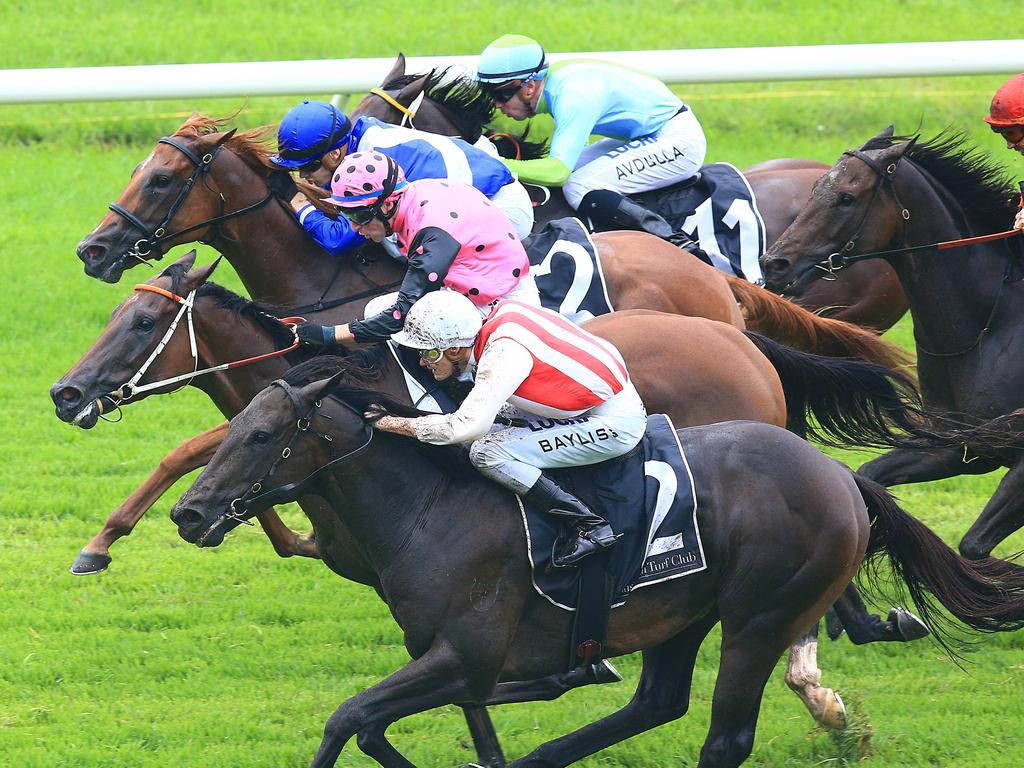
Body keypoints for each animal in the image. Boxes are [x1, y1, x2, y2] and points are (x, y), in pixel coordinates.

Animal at [167, 360, 1024, 768]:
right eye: (230, 426)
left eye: (261, 435)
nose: (189, 513)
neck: (428, 508)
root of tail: (840, 477)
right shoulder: (451, 659)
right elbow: (398, 726)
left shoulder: (466, 653)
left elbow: (349, 718)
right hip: (683, 612)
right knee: (657, 703)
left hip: (759, 617)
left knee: (723, 739)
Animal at [761, 124, 1024, 561]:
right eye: (815, 188)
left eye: (847, 197)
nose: (773, 264)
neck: (991, 323)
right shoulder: (959, 446)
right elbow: (870, 475)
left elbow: (973, 546)